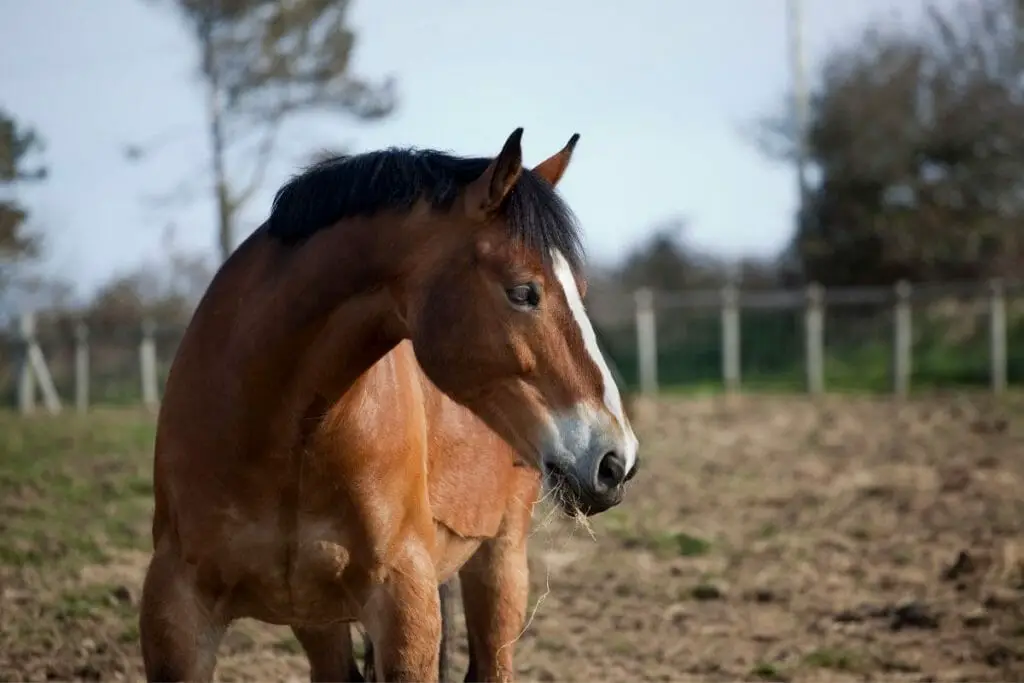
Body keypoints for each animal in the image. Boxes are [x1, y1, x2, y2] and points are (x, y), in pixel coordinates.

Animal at [139, 126, 634, 679]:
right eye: (524, 291)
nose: (616, 461)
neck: (276, 432)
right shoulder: (178, 612)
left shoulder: (404, 604)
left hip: (500, 558)